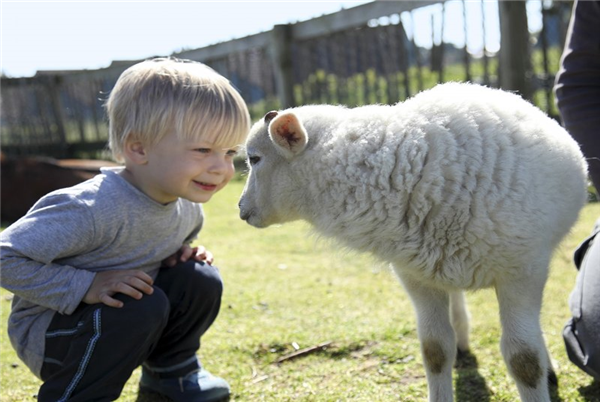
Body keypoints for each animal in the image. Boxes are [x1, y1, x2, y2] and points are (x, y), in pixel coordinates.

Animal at [237, 82, 588, 402]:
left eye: (254, 158)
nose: (241, 210)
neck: (402, 166)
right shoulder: (417, 277)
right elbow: (435, 350)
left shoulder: (521, 272)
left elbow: (524, 360)